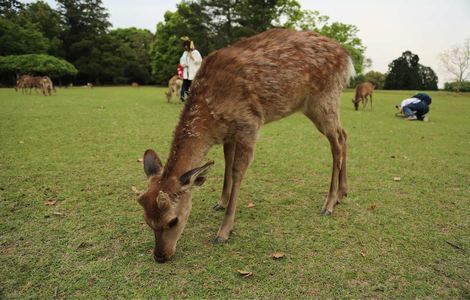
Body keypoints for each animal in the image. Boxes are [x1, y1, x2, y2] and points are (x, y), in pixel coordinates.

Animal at [138, 28, 354, 262]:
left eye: (173, 220)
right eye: (147, 221)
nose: (160, 256)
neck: (211, 117)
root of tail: (347, 57)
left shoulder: (249, 124)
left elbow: (236, 171)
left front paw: (223, 232)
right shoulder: (228, 133)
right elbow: (226, 164)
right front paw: (220, 202)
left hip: (324, 100)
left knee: (337, 143)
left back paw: (329, 204)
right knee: (344, 134)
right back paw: (342, 193)